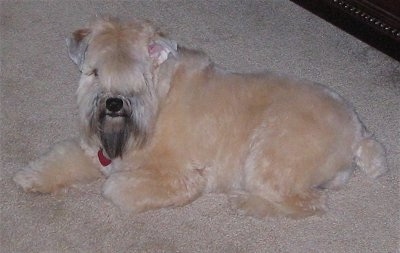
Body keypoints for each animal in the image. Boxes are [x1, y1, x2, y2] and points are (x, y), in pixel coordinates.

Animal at [14, 16, 388, 218]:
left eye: (138, 75)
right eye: (94, 71)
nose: (114, 103)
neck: (158, 102)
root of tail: (359, 133)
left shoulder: (183, 177)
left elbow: (114, 187)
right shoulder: (94, 149)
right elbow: (61, 159)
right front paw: (31, 177)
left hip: (269, 158)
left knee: (308, 202)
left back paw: (246, 202)